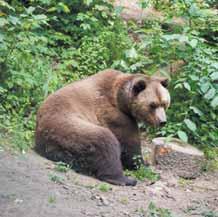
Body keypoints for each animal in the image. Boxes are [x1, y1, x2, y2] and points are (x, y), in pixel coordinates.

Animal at [34, 68, 170, 186]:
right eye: (152, 105)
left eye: (164, 103)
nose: (162, 121)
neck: (120, 98)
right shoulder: (114, 115)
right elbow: (129, 143)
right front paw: (143, 165)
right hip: (68, 127)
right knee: (104, 141)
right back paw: (124, 179)